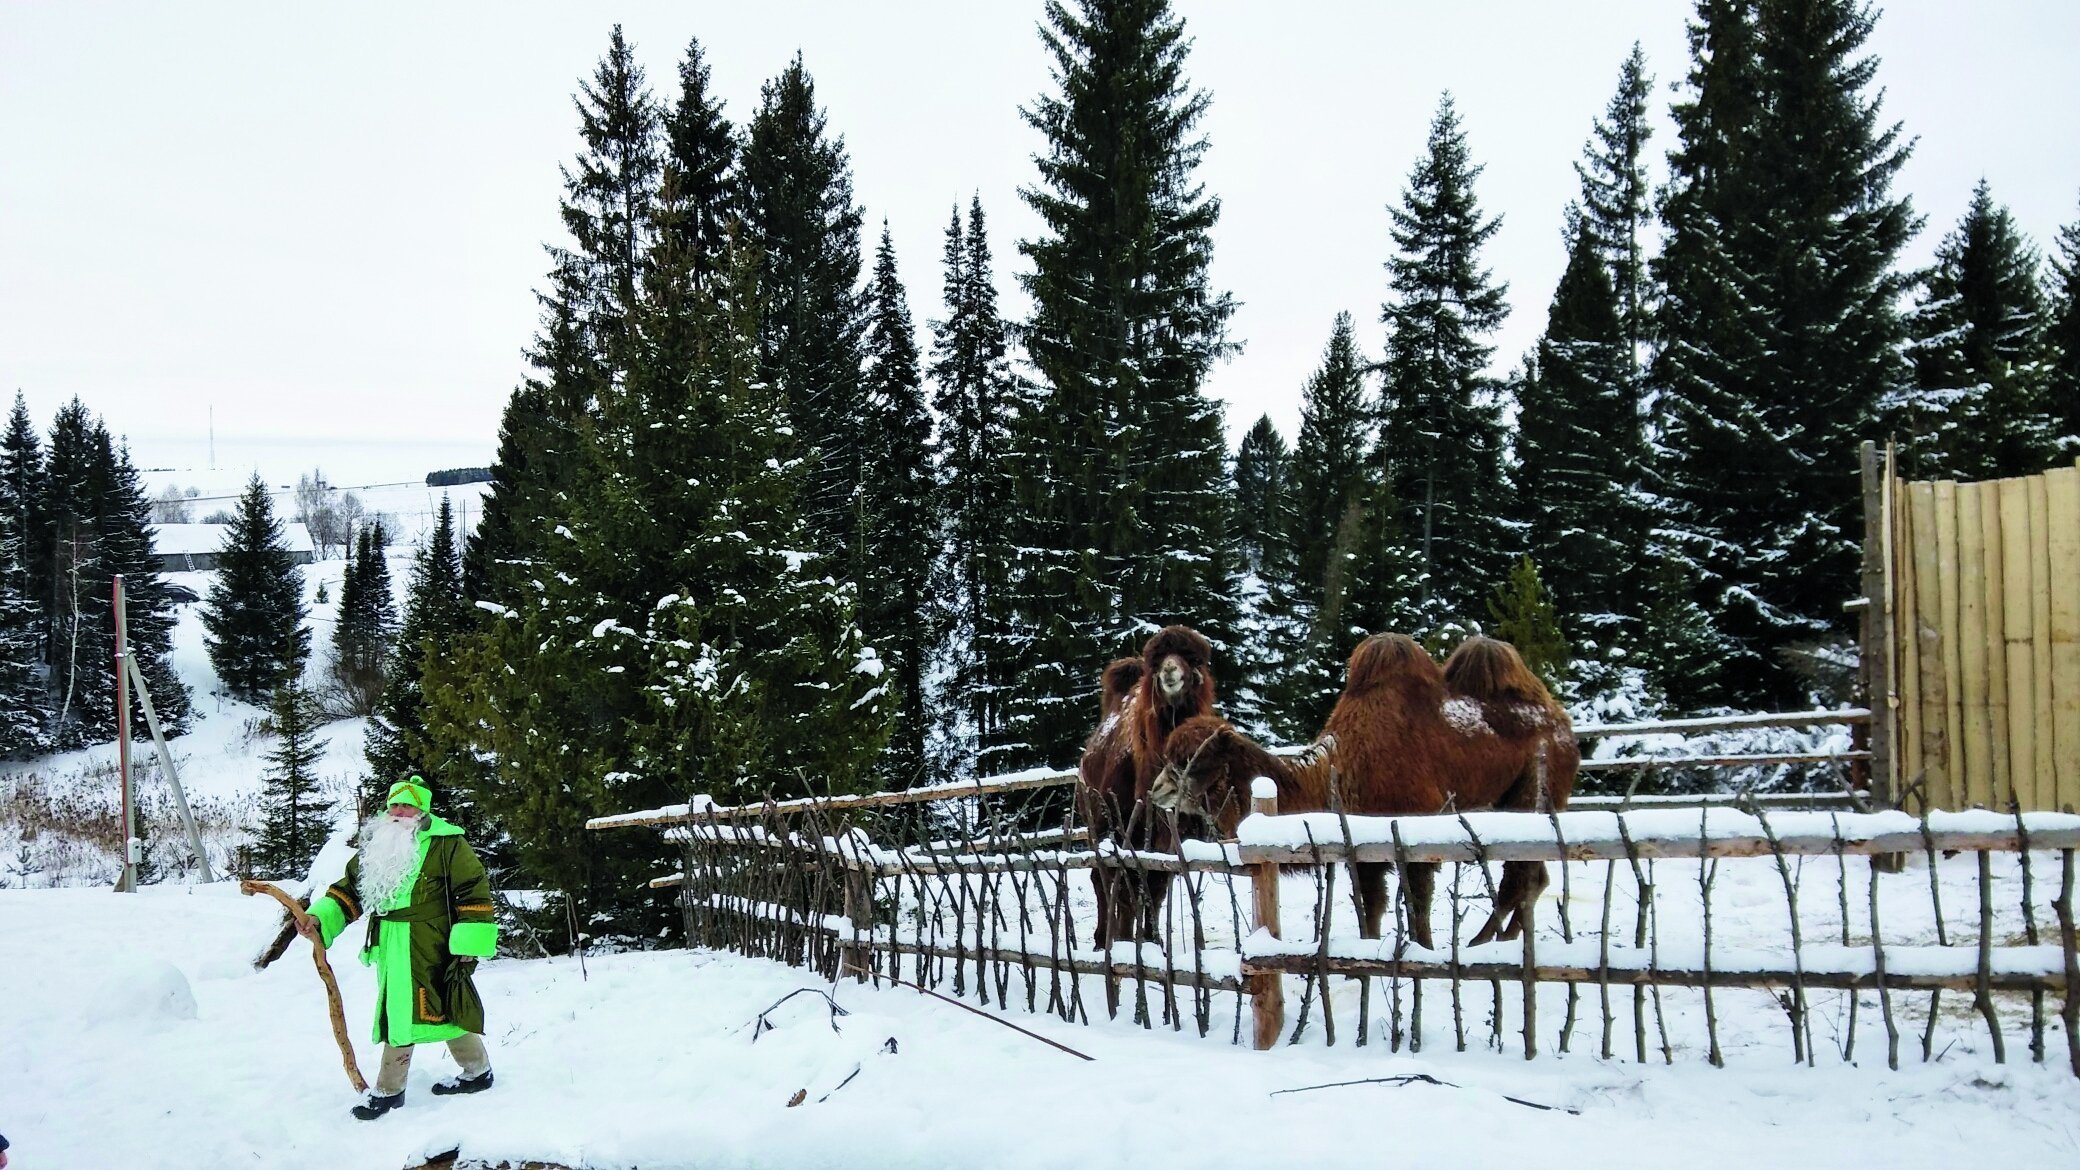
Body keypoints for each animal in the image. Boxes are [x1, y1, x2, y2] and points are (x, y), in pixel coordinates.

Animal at [1156, 628, 1572, 949]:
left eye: (1194, 761)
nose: (1157, 788)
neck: (1341, 772)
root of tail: (1560, 721)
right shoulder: (1364, 851)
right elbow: (1371, 909)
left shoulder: (1415, 837)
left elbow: (1417, 906)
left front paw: (1423, 950)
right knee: (1534, 876)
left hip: (1532, 793)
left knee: (1519, 877)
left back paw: (1482, 942)